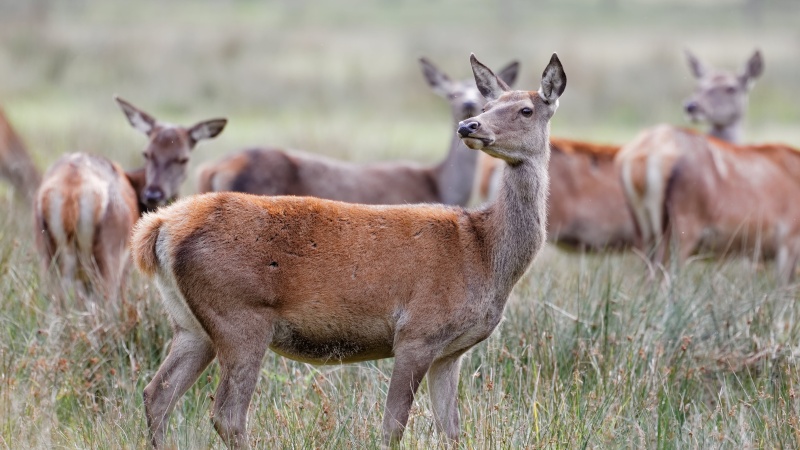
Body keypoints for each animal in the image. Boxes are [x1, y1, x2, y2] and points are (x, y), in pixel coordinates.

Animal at [33, 96, 227, 298]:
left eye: (183, 159)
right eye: (147, 153)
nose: (153, 193)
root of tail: (72, 193)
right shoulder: (127, 261)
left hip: (46, 252)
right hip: (110, 250)